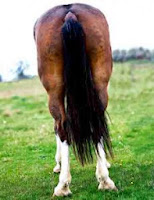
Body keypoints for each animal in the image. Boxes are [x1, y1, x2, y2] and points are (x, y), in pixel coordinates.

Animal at [33, 3, 116, 197]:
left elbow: (56, 128)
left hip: (54, 89)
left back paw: (63, 185)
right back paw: (105, 180)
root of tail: (69, 12)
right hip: (100, 80)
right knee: (97, 123)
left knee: (62, 127)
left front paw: (58, 164)